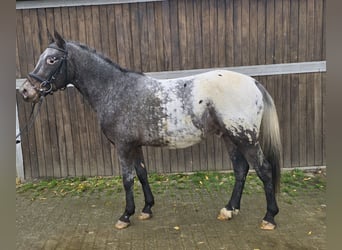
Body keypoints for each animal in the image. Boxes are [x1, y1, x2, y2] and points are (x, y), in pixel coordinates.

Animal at [17, 31, 282, 230]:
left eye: (52, 60)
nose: (26, 92)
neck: (116, 90)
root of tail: (253, 82)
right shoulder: (134, 145)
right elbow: (143, 174)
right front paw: (146, 209)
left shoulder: (123, 146)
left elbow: (127, 179)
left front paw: (125, 216)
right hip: (229, 137)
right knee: (241, 170)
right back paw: (229, 210)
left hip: (245, 139)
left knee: (264, 170)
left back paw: (269, 217)